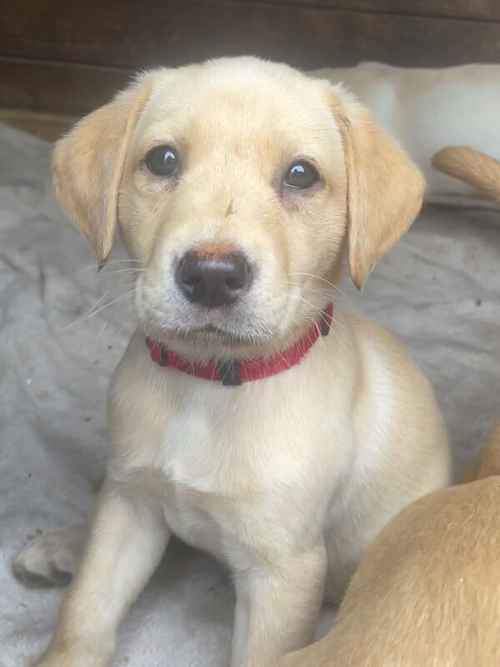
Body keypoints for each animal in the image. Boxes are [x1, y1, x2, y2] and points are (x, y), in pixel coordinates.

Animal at [26, 58, 450, 667]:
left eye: (301, 175)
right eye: (162, 160)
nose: (211, 275)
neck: (211, 384)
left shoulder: (282, 570)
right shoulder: (130, 505)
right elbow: (86, 609)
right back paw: (63, 547)